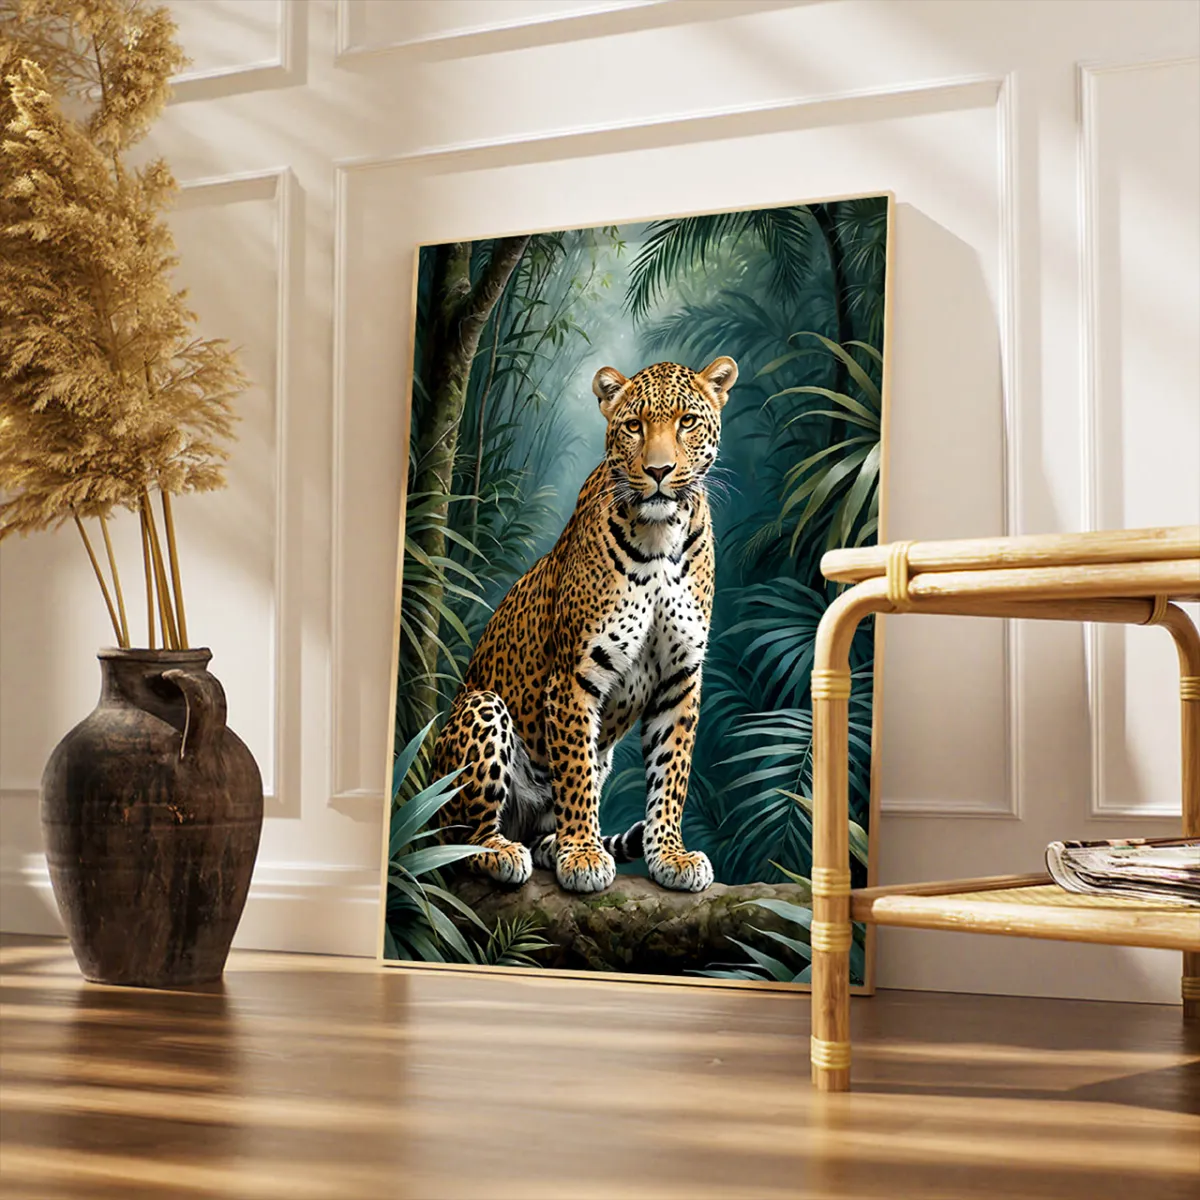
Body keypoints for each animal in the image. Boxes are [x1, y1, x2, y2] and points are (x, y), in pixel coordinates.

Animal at [431, 355, 737, 894]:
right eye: (634, 426)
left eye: (687, 422)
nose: (659, 471)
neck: (660, 537)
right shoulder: (575, 674)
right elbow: (573, 772)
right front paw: (584, 855)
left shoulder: (680, 677)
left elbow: (671, 773)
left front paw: (670, 855)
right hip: (482, 709)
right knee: (460, 837)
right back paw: (503, 851)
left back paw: (549, 845)